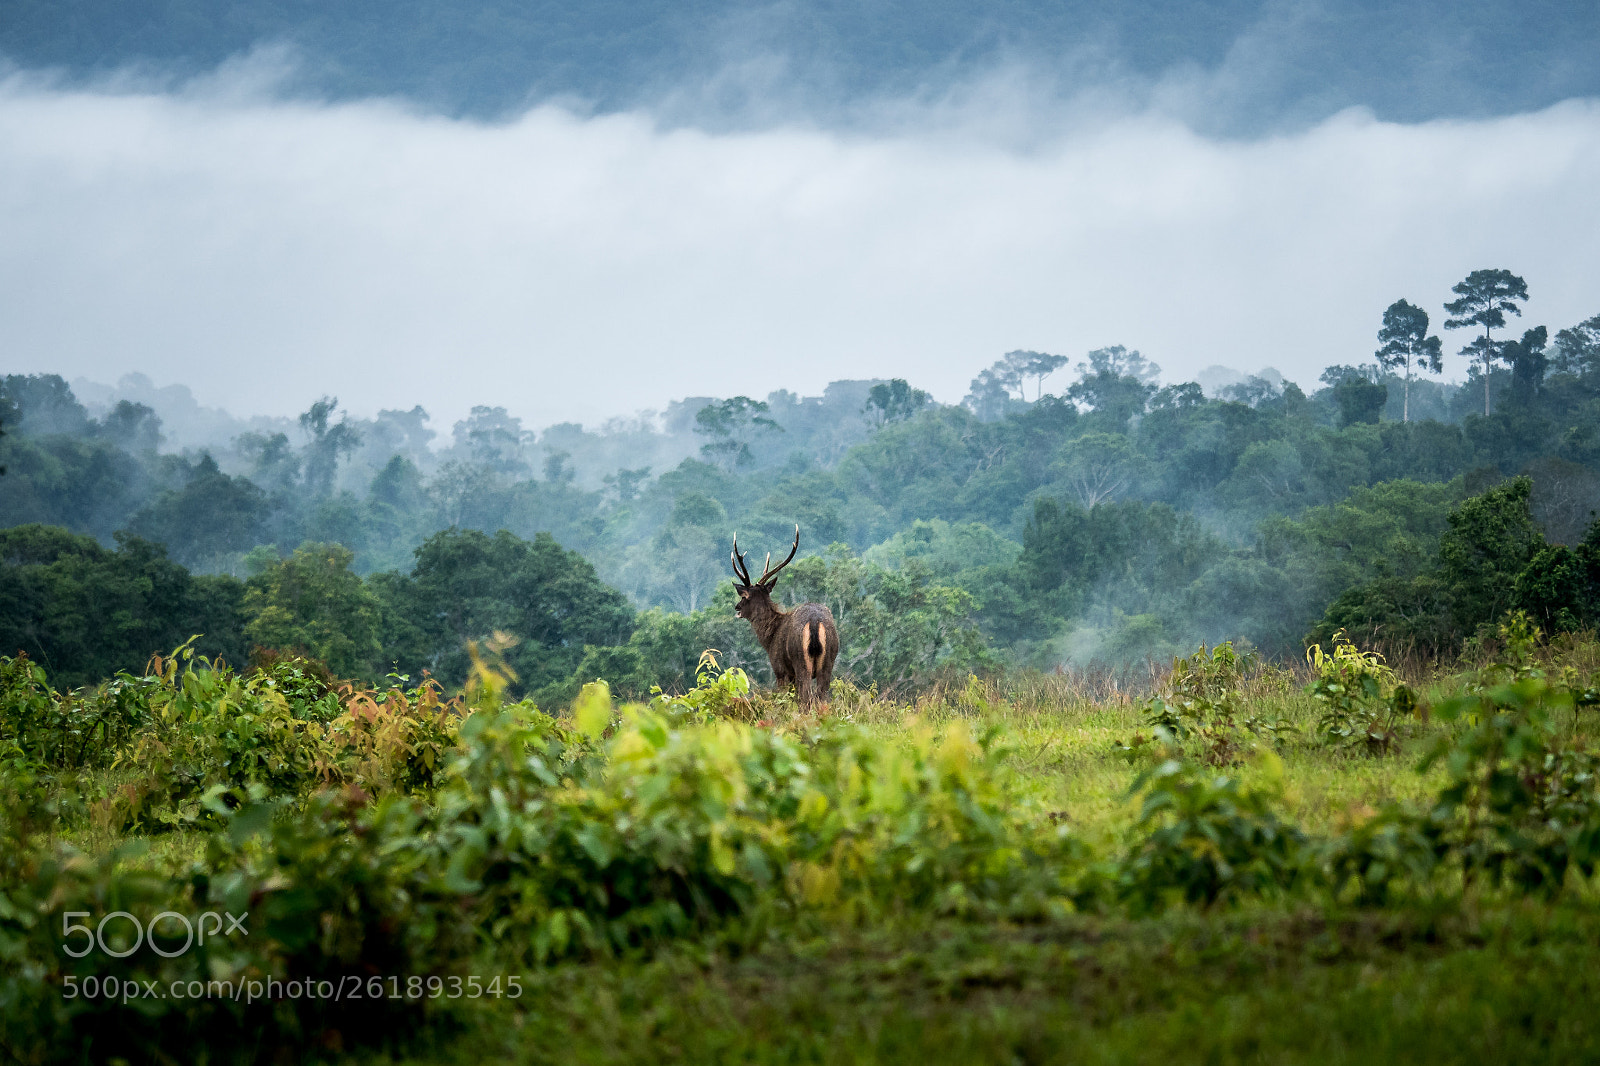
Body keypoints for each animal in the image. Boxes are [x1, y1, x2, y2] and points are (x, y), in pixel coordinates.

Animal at [730, 525, 839, 712]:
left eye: (744, 597)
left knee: (806, 696)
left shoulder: (780, 669)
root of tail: (815, 622)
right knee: (821, 695)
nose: (737, 608)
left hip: (800, 661)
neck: (769, 638)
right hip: (829, 660)